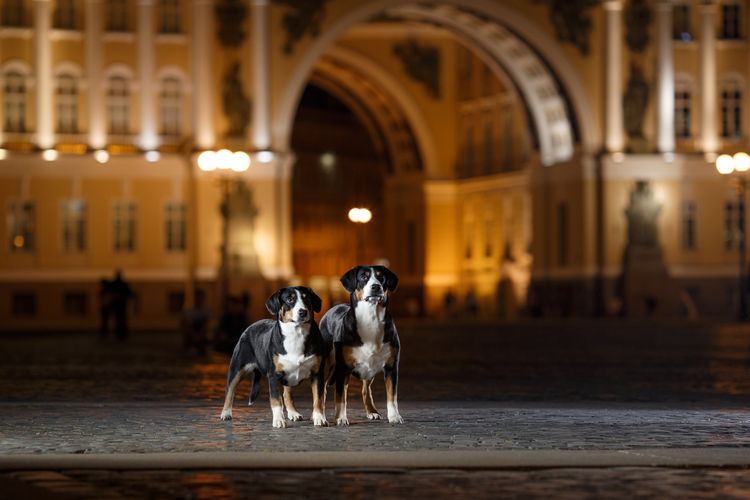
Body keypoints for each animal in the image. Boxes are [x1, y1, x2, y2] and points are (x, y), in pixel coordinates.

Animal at [222, 288, 330, 428]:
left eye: (306, 298)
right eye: (290, 299)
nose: (303, 312)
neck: (296, 334)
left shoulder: (317, 374)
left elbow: (318, 398)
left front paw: (319, 418)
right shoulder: (273, 375)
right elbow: (276, 400)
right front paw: (278, 420)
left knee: (287, 394)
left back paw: (293, 413)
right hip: (237, 368)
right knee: (230, 390)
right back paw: (225, 413)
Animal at [324, 266, 406, 426]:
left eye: (381, 277)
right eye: (363, 277)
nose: (376, 287)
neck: (371, 318)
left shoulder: (392, 366)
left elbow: (392, 396)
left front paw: (394, 416)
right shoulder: (342, 368)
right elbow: (340, 397)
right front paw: (341, 418)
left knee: (365, 390)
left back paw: (372, 411)